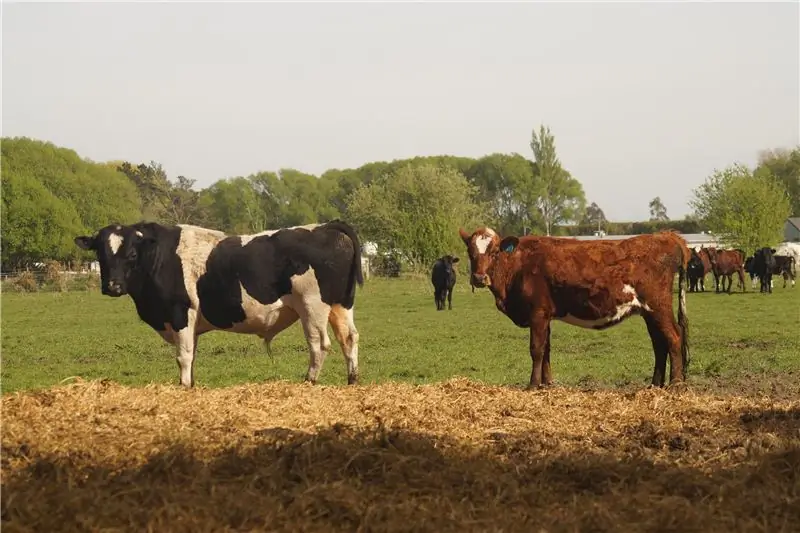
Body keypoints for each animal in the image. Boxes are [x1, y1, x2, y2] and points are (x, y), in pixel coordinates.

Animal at [74, 220, 364, 388]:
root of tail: (326, 226)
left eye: (132, 254)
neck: (160, 256)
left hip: (312, 307)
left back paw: (309, 380)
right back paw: (352, 379)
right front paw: (191, 384)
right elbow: (191, 356)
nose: (112, 286)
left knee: (319, 344)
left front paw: (183, 386)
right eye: (100, 254)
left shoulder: (180, 313)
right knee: (349, 338)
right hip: (341, 305)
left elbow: (183, 356)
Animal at [459, 227, 690, 389]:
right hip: (649, 312)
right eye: (470, 252)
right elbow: (547, 350)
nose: (479, 278)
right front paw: (547, 384)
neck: (519, 264)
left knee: (673, 337)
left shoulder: (538, 313)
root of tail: (666, 236)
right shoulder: (546, 316)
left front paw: (533, 384)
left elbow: (536, 349)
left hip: (658, 306)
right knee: (659, 344)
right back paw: (655, 385)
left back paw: (675, 385)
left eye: (494, 252)